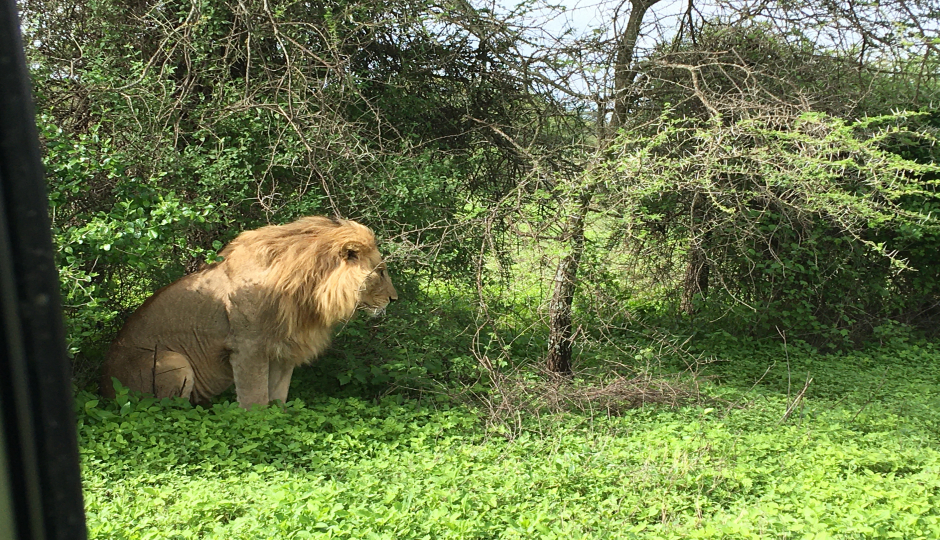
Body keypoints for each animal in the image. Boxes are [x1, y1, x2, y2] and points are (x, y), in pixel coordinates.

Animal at [99, 217, 396, 408]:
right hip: (173, 360)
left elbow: (279, 397)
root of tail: (104, 389)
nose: (394, 299)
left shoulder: (285, 348)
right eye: (380, 271)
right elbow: (256, 400)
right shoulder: (247, 348)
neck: (308, 289)